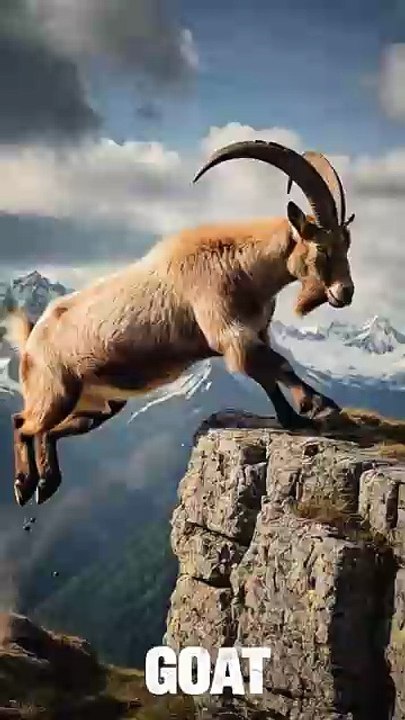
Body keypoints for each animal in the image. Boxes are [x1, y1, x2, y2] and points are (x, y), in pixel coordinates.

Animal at [9, 140, 355, 507]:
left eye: (346, 245)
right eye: (322, 248)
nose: (345, 293)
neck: (242, 265)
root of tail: (31, 337)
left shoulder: (253, 333)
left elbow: (268, 374)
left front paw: (293, 416)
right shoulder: (227, 330)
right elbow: (278, 365)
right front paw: (319, 405)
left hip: (99, 404)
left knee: (47, 429)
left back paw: (45, 483)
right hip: (55, 390)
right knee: (23, 423)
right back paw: (24, 484)